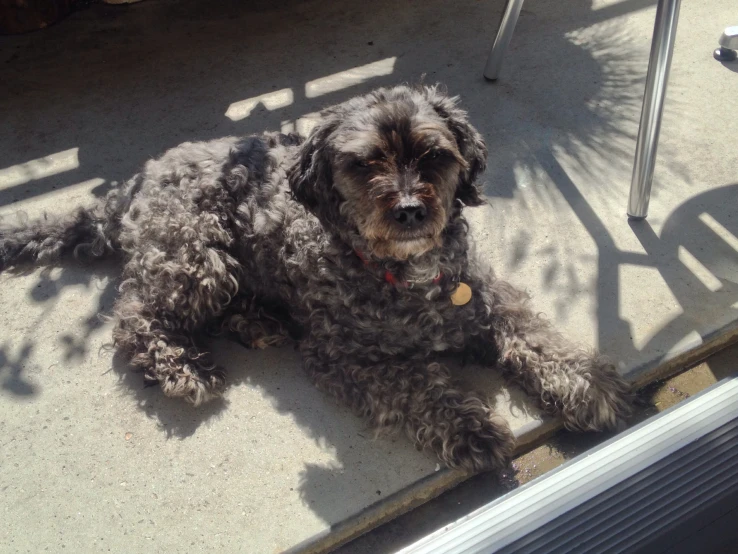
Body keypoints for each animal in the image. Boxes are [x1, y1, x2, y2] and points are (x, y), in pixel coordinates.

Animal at [1, 85, 628, 470]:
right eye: (364, 163)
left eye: (434, 156)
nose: (409, 210)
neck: (401, 272)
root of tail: (130, 186)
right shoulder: (344, 357)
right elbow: (419, 388)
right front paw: (470, 429)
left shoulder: (486, 300)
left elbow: (536, 336)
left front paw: (586, 383)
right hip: (196, 257)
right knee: (136, 318)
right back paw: (179, 365)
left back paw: (257, 322)